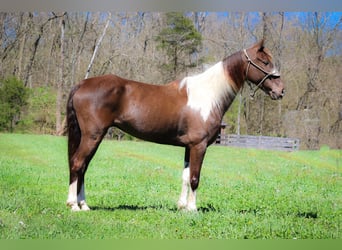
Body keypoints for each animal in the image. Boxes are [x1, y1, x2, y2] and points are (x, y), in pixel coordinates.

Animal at [65, 40, 284, 211]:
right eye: (264, 61)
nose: (280, 91)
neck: (208, 95)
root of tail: (82, 84)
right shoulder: (199, 146)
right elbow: (195, 177)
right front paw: (193, 209)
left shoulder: (189, 146)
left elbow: (185, 176)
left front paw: (182, 206)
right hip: (93, 136)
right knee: (77, 163)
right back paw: (73, 205)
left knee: (82, 167)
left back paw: (84, 204)